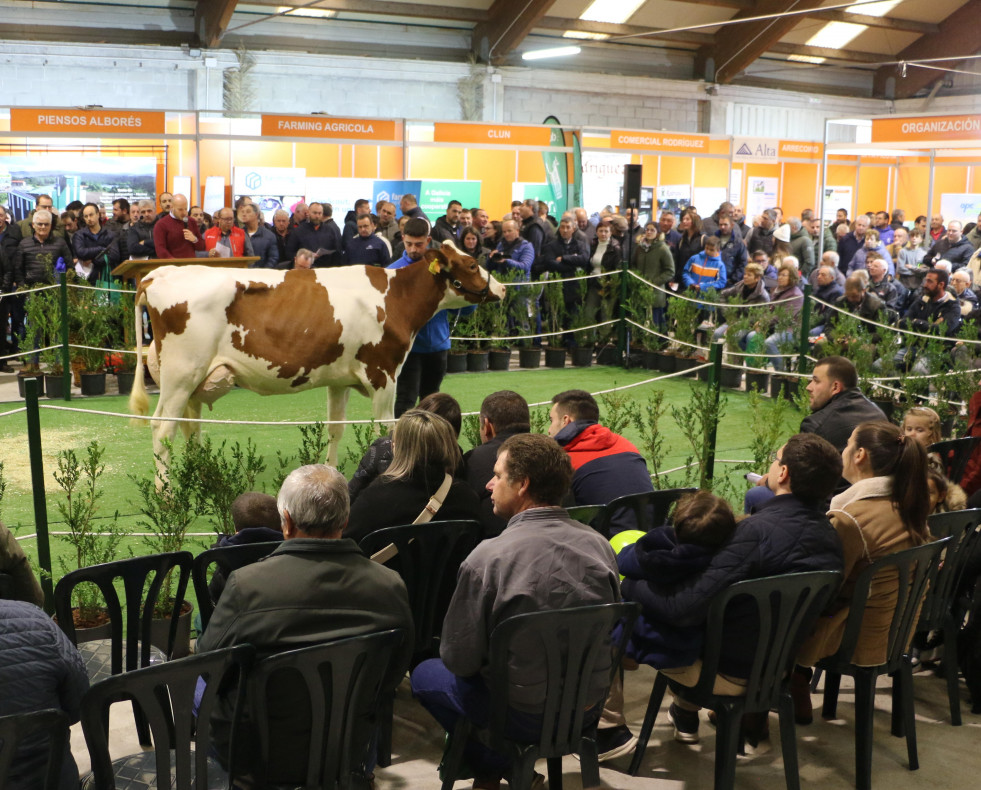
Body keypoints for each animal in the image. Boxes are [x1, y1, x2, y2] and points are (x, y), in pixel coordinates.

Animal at [130, 243, 506, 476]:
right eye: (472, 264)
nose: (501, 288)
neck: (394, 297)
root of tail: (158, 274)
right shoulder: (384, 373)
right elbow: (387, 428)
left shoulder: (339, 380)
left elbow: (335, 428)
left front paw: (330, 469)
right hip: (181, 374)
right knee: (163, 429)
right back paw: (167, 496)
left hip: (190, 380)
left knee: (189, 427)